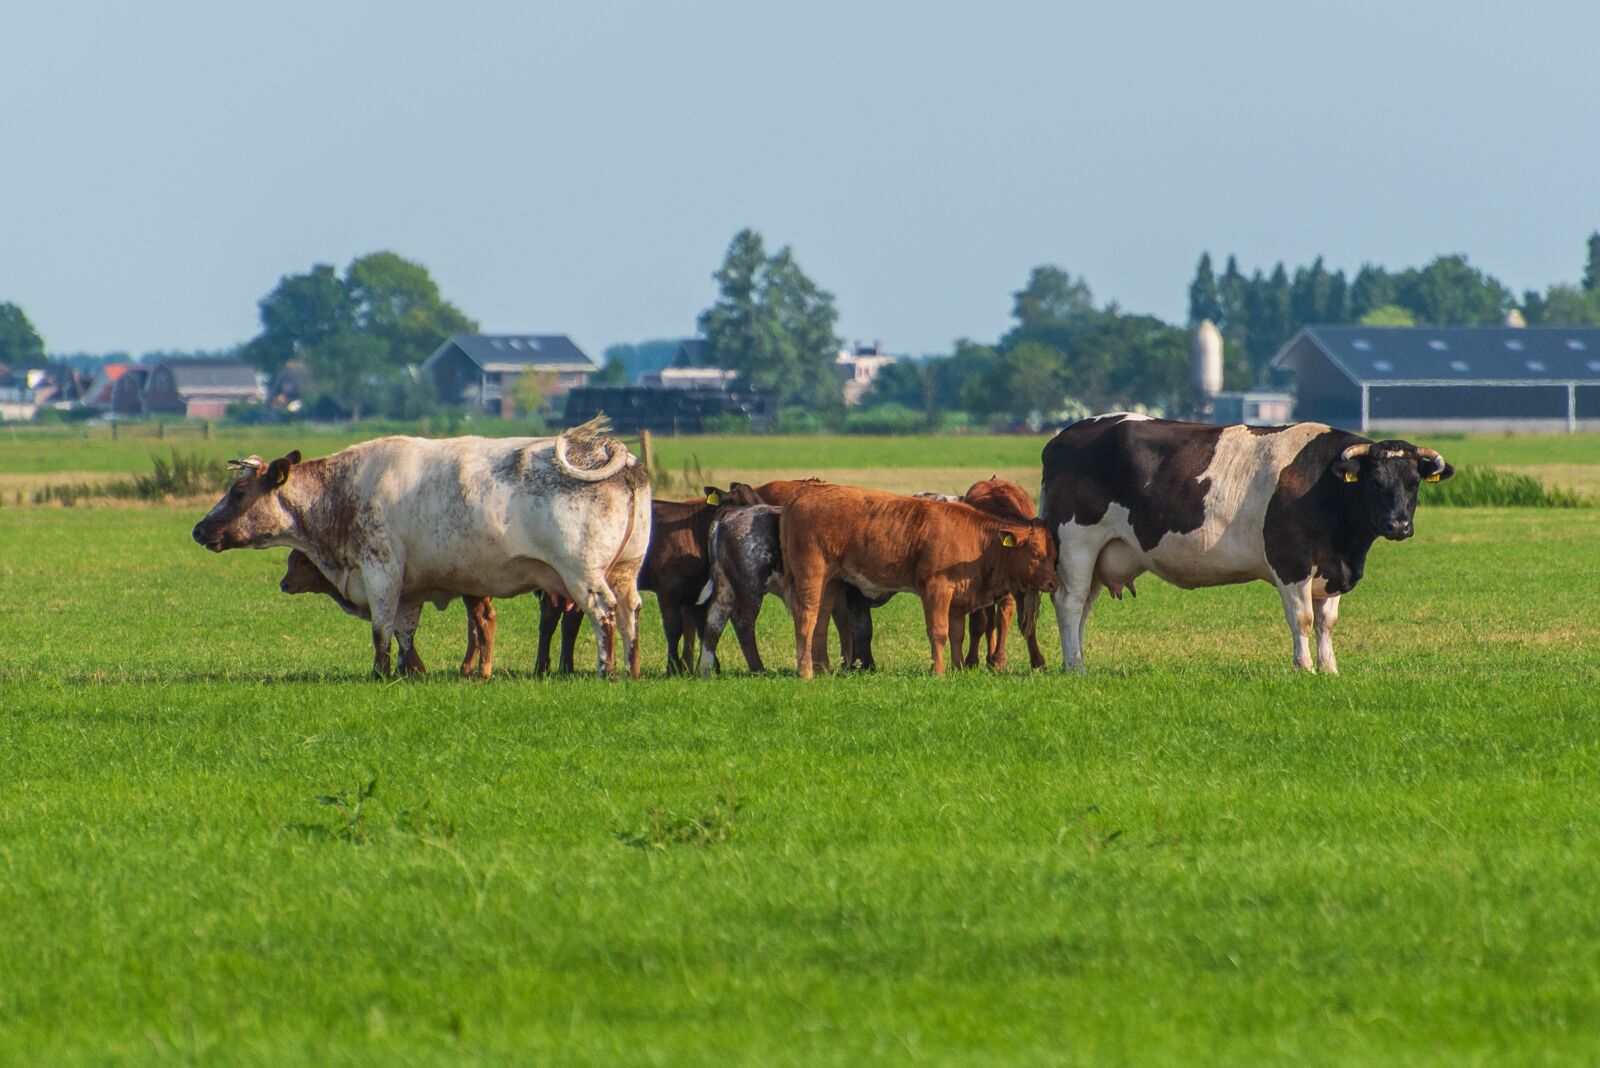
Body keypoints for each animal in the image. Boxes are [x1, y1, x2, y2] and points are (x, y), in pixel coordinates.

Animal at [193, 420, 650, 679]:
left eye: (238, 492)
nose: (199, 529)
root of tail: (615, 452)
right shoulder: (408, 589)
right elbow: (404, 631)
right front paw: (409, 672)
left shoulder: (380, 571)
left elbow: (381, 629)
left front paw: (378, 675)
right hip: (626, 572)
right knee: (631, 614)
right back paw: (632, 670)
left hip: (583, 575)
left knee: (605, 614)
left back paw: (607, 671)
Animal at [780, 486, 1058, 678]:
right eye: (1035, 554)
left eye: (1054, 554)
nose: (1054, 583)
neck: (977, 541)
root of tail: (802, 496)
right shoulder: (936, 589)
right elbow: (939, 632)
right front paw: (939, 671)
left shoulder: (958, 600)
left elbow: (957, 634)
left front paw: (958, 668)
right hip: (811, 576)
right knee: (806, 618)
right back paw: (806, 672)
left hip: (830, 582)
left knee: (820, 621)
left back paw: (822, 669)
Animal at [1039, 413, 1454, 673]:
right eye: (1375, 482)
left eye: (1413, 483)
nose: (1398, 524)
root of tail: (1063, 437)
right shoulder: (1291, 562)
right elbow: (1302, 619)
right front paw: (1304, 669)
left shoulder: (1333, 569)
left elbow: (1327, 623)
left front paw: (1331, 668)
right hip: (1076, 542)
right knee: (1069, 603)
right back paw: (1075, 667)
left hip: (1102, 553)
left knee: (1084, 607)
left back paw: (1077, 660)